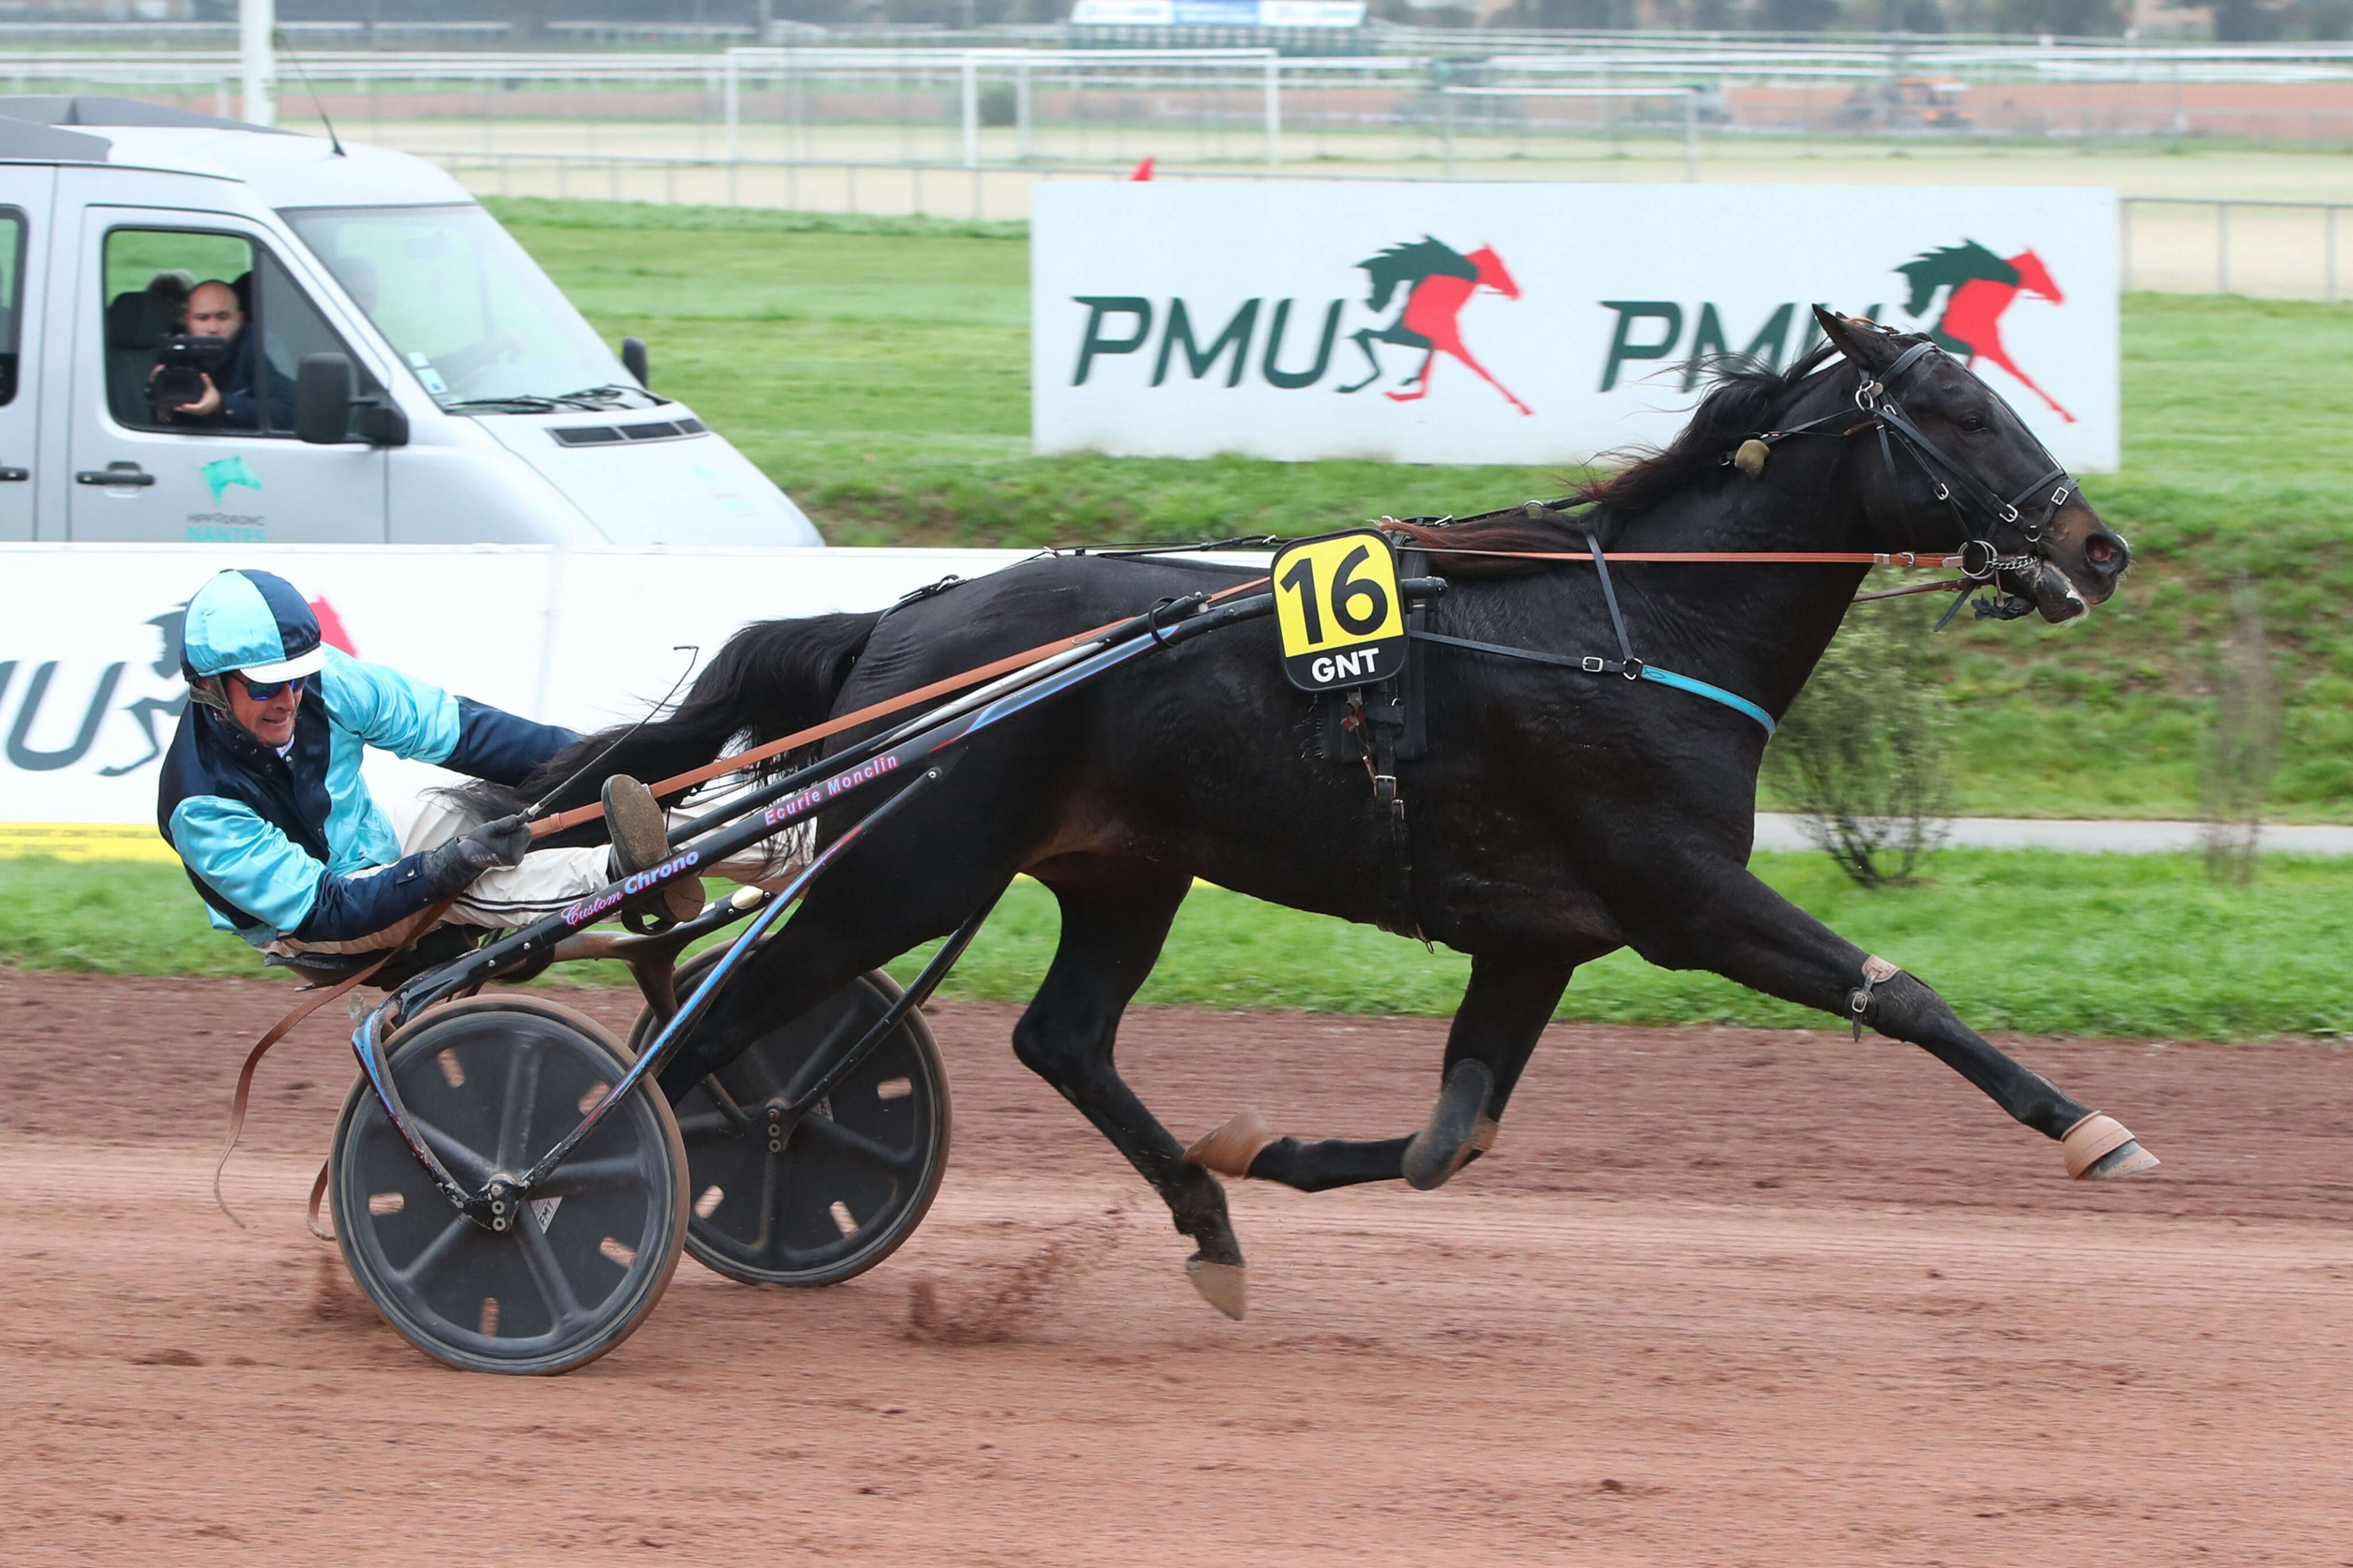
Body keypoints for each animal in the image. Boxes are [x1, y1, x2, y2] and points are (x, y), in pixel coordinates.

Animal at [524, 312, 2146, 1316]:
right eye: (1956, 410)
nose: (2097, 547)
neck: (1630, 630)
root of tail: (896, 623)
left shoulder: (1538, 937)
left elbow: (1451, 1139)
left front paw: (1266, 1154)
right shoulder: (1684, 899)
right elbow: (1901, 991)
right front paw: (2091, 1130)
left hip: (1121, 872)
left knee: (1058, 1038)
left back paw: (1206, 1216)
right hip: (910, 869)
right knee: (703, 1021)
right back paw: (559, 1185)